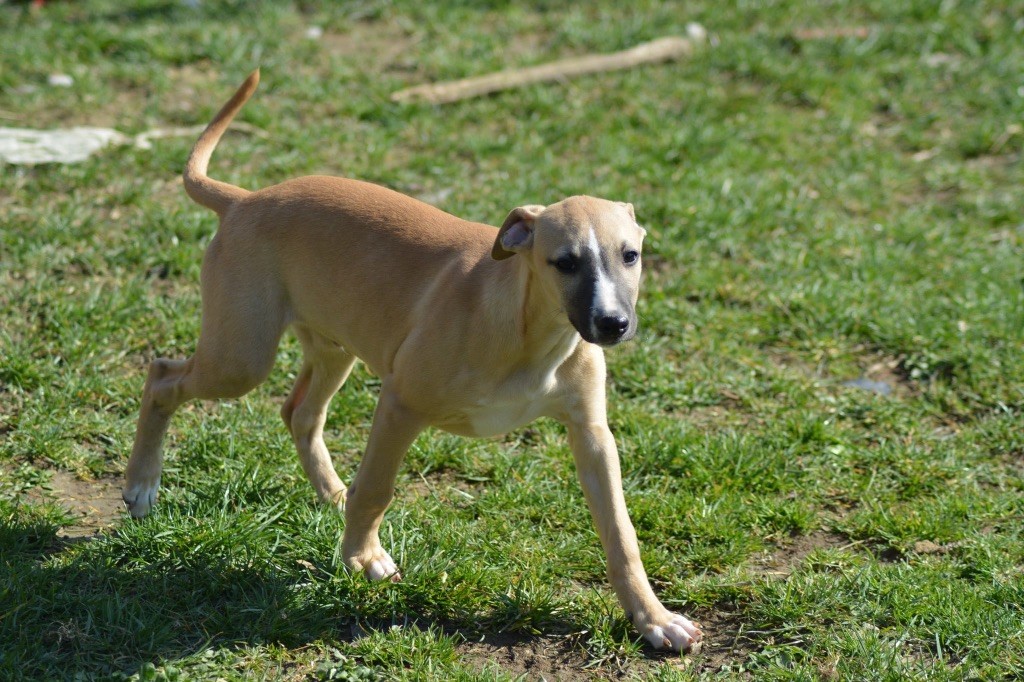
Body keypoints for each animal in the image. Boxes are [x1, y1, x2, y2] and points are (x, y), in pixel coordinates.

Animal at [122, 70, 702, 652]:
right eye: (564, 263)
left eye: (630, 256)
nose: (612, 324)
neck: (533, 335)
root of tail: (245, 200)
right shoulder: (401, 403)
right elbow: (378, 487)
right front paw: (363, 558)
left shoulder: (592, 434)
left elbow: (621, 534)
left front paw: (653, 618)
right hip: (241, 356)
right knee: (163, 377)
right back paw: (142, 486)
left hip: (333, 347)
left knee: (299, 413)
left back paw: (333, 492)